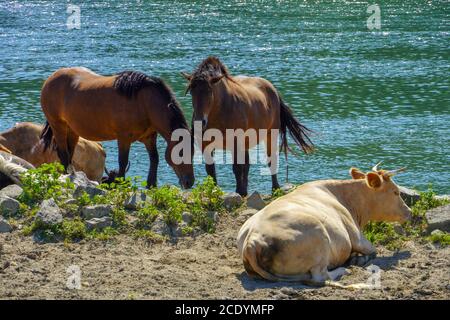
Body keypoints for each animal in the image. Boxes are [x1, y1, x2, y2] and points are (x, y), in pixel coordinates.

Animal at [42, 66, 195, 189]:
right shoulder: (124, 137)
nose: (190, 182)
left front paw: (151, 184)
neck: (144, 102)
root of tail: (50, 79)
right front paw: (122, 184)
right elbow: (123, 161)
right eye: (181, 153)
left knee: (69, 153)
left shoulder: (149, 137)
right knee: (63, 153)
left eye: (192, 153)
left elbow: (154, 159)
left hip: (72, 130)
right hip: (58, 125)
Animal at [182, 56, 312, 196]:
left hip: (270, 134)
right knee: (247, 164)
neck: (220, 110)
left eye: (209, 91)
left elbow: (237, 167)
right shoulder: (205, 143)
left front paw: (238, 191)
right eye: (191, 91)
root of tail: (273, 90)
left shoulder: (235, 142)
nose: (200, 121)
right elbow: (211, 169)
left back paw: (274, 188)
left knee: (271, 160)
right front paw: (214, 190)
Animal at [237, 164, 414, 284]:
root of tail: (252, 240)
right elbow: (373, 250)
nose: (410, 212)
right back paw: (343, 269)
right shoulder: (356, 237)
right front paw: (358, 259)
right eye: (396, 192)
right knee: (320, 276)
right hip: (319, 237)